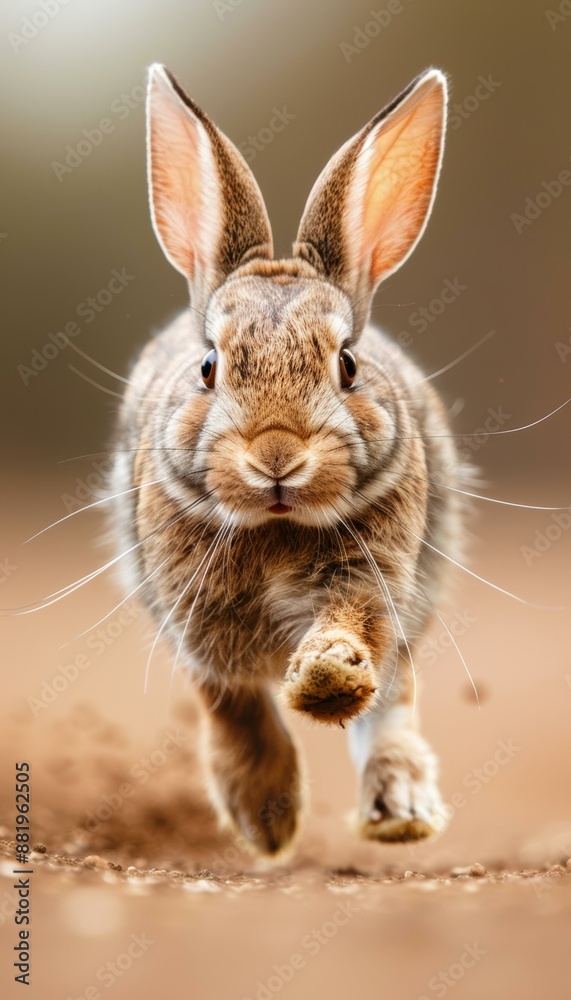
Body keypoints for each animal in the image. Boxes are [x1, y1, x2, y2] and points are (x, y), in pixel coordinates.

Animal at [111, 63, 463, 857]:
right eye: (209, 366)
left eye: (347, 365)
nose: (277, 456)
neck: (273, 525)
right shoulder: (195, 619)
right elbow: (231, 702)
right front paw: (265, 817)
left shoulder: (371, 576)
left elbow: (354, 635)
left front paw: (327, 678)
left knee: (394, 701)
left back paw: (400, 810)